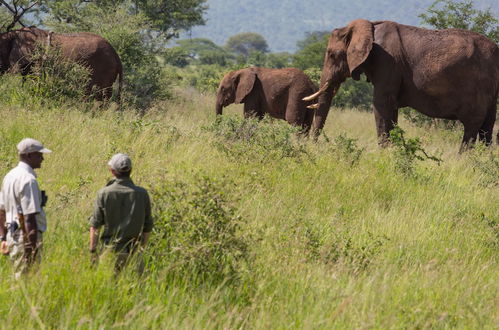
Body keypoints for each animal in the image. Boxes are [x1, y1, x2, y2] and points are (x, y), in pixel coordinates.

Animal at [304, 19, 499, 151]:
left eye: (332, 55)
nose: (314, 145)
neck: (369, 25)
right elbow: (391, 110)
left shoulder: (387, 62)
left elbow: (381, 105)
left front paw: (383, 153)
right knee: (487, 128)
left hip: (478, 87)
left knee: (472, 125)